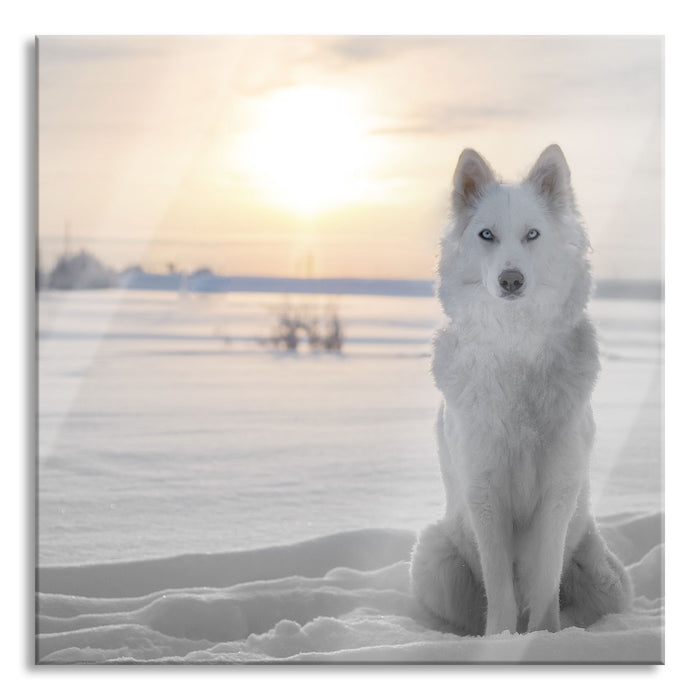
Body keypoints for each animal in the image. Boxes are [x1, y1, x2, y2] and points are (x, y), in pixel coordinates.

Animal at [410, 145, 632, 636]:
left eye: (532, 234)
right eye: (486, 235)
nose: (511, 280)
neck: (516, 346)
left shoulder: (557, 493)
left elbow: (545, 579)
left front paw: (544, 638)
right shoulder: (484, 492)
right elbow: (500, 587)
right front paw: (501, 640)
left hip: (607, 579)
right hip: (435, 560)